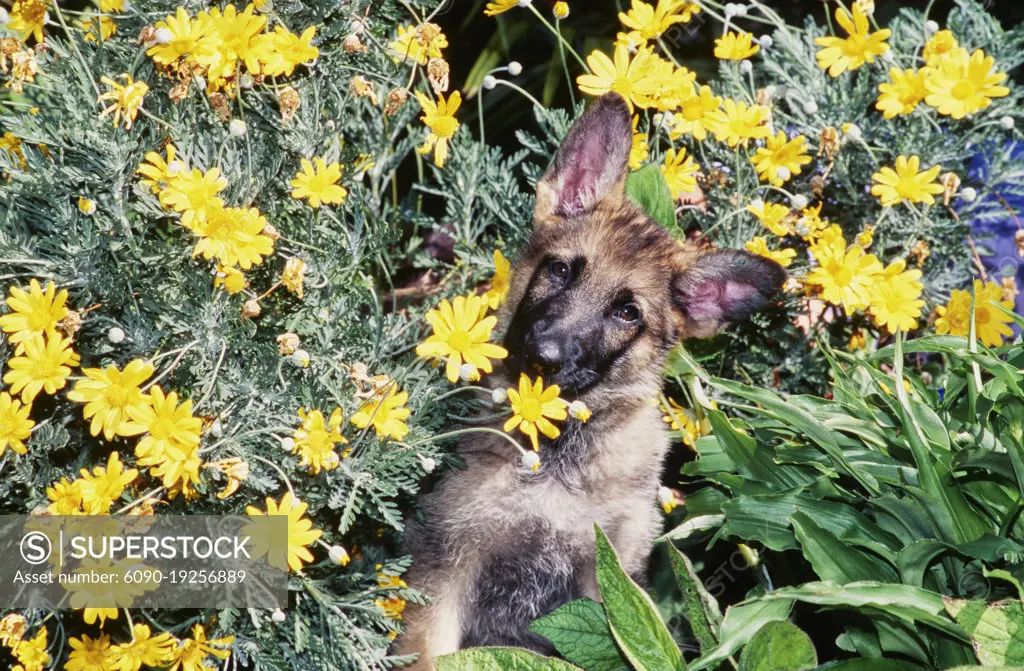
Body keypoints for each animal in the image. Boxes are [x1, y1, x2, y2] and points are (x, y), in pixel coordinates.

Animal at [397, 93, 782, 667]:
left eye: (627, 312)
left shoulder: (608, 589)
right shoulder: (446, 566)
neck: (557, 455)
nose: (545, 356)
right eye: (560, 271)